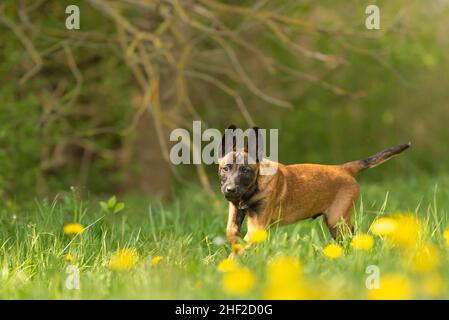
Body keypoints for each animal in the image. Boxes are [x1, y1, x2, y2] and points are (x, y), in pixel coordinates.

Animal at [219, 125, 412, 242]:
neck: (254, 187)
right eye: (225, 169)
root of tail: (343, 168)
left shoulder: (258, 225)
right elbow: (231, 232)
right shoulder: (236, 213)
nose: (230, 190)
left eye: (246, 171)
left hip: (337, 220)